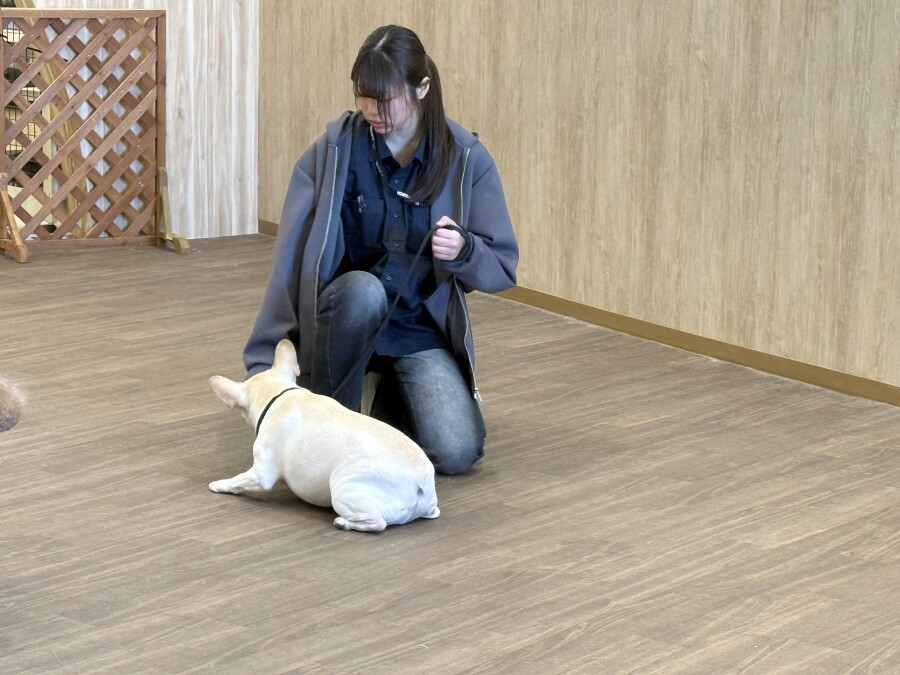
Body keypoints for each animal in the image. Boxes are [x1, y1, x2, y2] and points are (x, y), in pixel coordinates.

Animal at [208, 339, 440, 532]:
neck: (279, 395)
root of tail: (421, 484)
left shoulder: (260, 474)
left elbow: (238, 481)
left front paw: (219, 484)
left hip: (343, 488)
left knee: (377, 522)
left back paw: (345, 522)